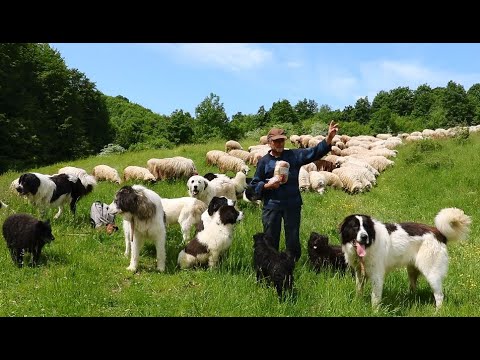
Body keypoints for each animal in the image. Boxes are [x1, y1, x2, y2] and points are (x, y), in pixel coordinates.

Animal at [340, 207, 470, 310]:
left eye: (366, 227)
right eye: (355, 227)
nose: (364, 236)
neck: (370, 243)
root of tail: (439, 233)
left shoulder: (377, 276)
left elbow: (375, 298)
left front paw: (374, 311)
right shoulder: (359, 272)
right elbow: (359, 290)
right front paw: (357, 303)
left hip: (432, 273)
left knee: (439, 296)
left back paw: (437, 312)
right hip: (412, 271)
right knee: (414, 288)